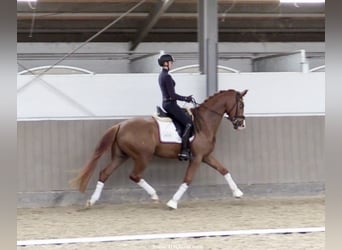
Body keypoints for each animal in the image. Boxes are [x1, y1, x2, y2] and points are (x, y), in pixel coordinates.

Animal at [71, 88, 248, 209]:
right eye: (241, 104)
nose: (241, 124)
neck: (202, 123)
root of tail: (120, 125)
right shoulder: (197, 158)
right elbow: (188, 179)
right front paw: (173, 202)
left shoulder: (205, 156)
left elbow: (224, 170)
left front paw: (238, 193)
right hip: (143, 156)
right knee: (134, 175)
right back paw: (154, 195)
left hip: (120, 156)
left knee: (104, 173)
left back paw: (92, 201)